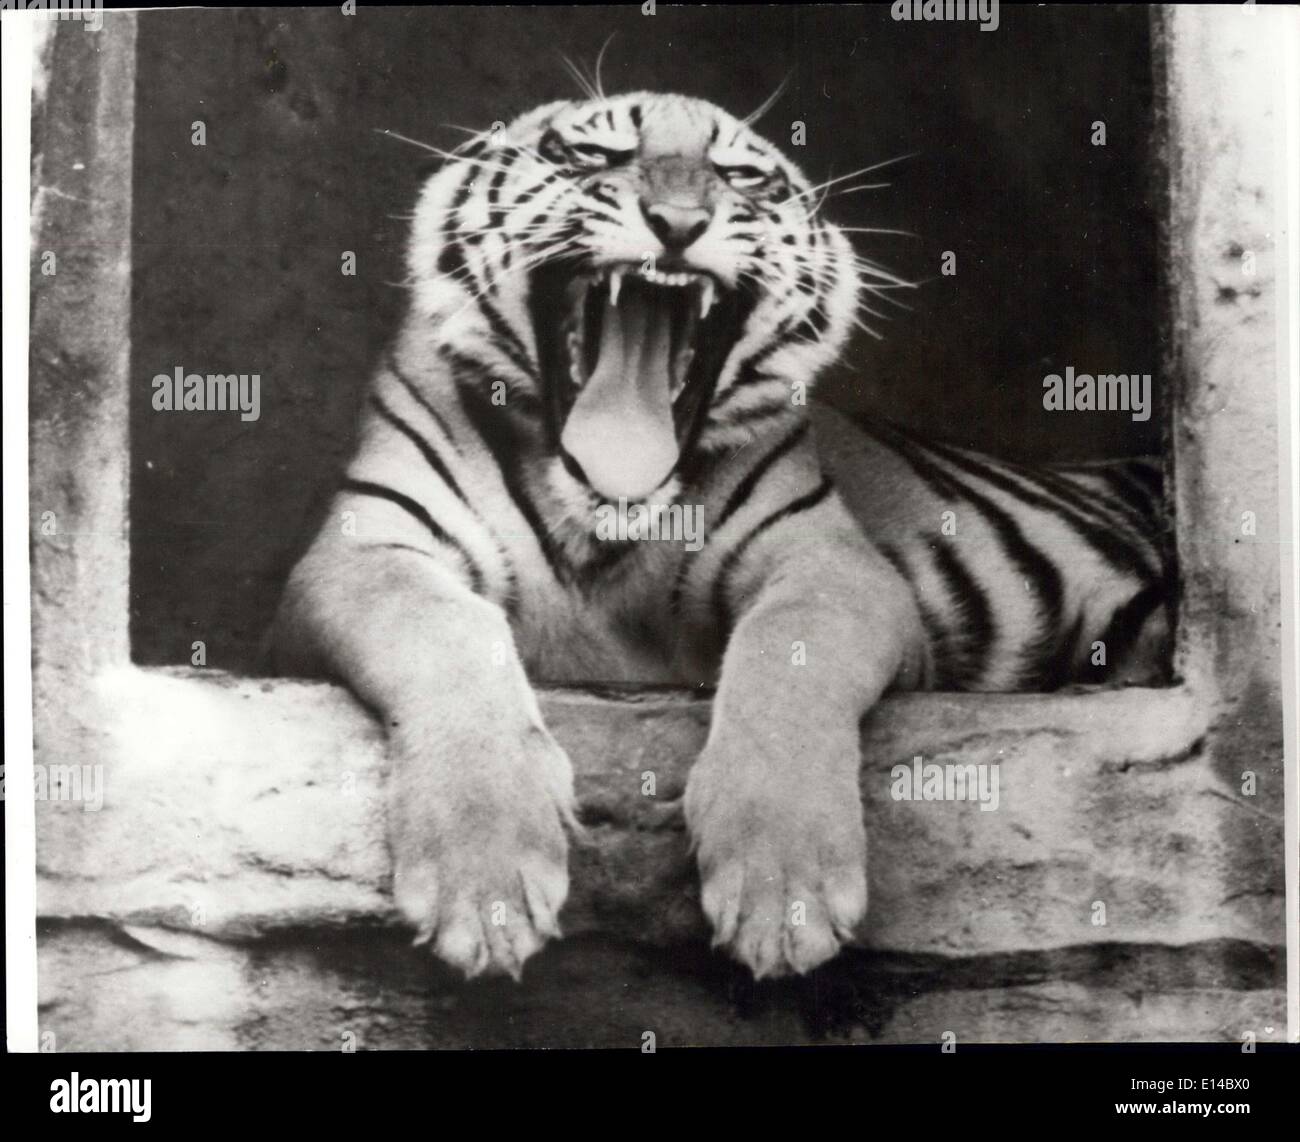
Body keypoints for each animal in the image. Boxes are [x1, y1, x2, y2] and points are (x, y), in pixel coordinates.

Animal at [271, 91, 1173, 981]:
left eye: (742, 175)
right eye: (592, 155)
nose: (677, 220)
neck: (601, 524)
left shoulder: (825, 558)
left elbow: (788, 659)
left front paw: (785, 890)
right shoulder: (366, 547)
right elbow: (444, 633)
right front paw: (483, 877)